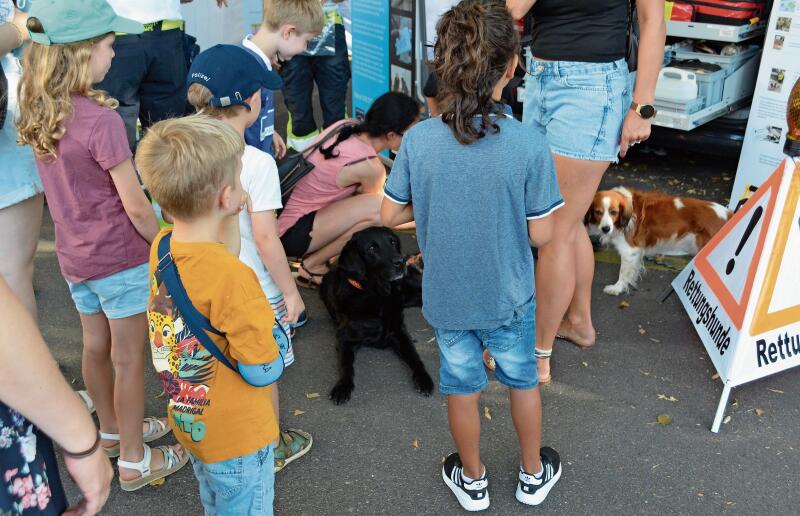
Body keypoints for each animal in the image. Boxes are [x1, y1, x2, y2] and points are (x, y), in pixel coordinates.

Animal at [320, 228, 434, 406]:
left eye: (393, 242)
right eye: (372, 248)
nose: (400, 262)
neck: (378, 296)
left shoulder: (400, 332)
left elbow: (415, 357)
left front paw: (423, 378)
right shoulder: (344, 338)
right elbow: (346, 365)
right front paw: (343, 386)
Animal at [588, 187, 732, 296]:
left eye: (613, 212)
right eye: (598, 212)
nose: (605, 229)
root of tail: (728, 214)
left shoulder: (630, 251)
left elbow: (623, 272)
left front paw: (617, 288)